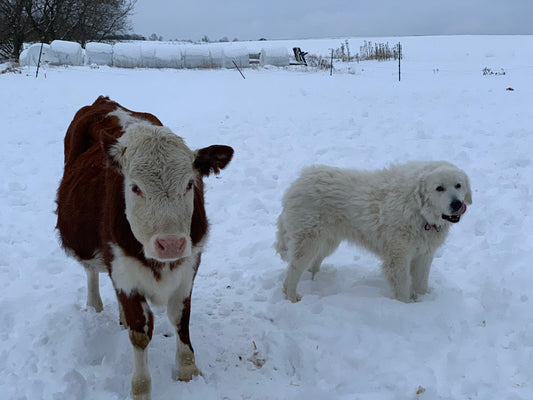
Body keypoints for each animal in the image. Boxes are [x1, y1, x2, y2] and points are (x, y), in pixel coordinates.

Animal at [56, 95, 233, 398]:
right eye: (135, 187)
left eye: (190, 183)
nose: (171, 244)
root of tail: (103, 100)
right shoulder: (124, 271)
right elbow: (140, 333)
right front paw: (140, 388)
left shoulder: (189, 266)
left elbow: (180, 318)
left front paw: (187, 369)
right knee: (91, 272)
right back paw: (95, 304)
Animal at [274, 161, 470, 302]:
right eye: (439, 188)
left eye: (458, 185)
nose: (457, 204)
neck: (418, 211)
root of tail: (298, 182)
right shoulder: (398, 257)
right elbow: (402, 286)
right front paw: (407, 307)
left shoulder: (424, 254)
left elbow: (421, 283)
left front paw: (424, 301)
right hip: (308, 241)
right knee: (294, 269)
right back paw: (292, 297)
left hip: (327, 242)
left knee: (313, 264)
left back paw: (314, 281)